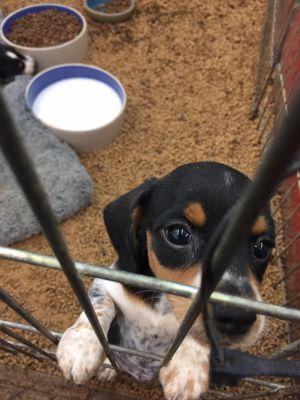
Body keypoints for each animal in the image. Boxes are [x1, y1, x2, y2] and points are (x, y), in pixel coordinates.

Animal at [56, 162, 274, 400]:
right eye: (178, 234)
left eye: (262, 247)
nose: (237, 316)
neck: (163, 303)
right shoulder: (109, 282)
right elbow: (96, 307)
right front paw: (79, 347)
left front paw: (188, 369)